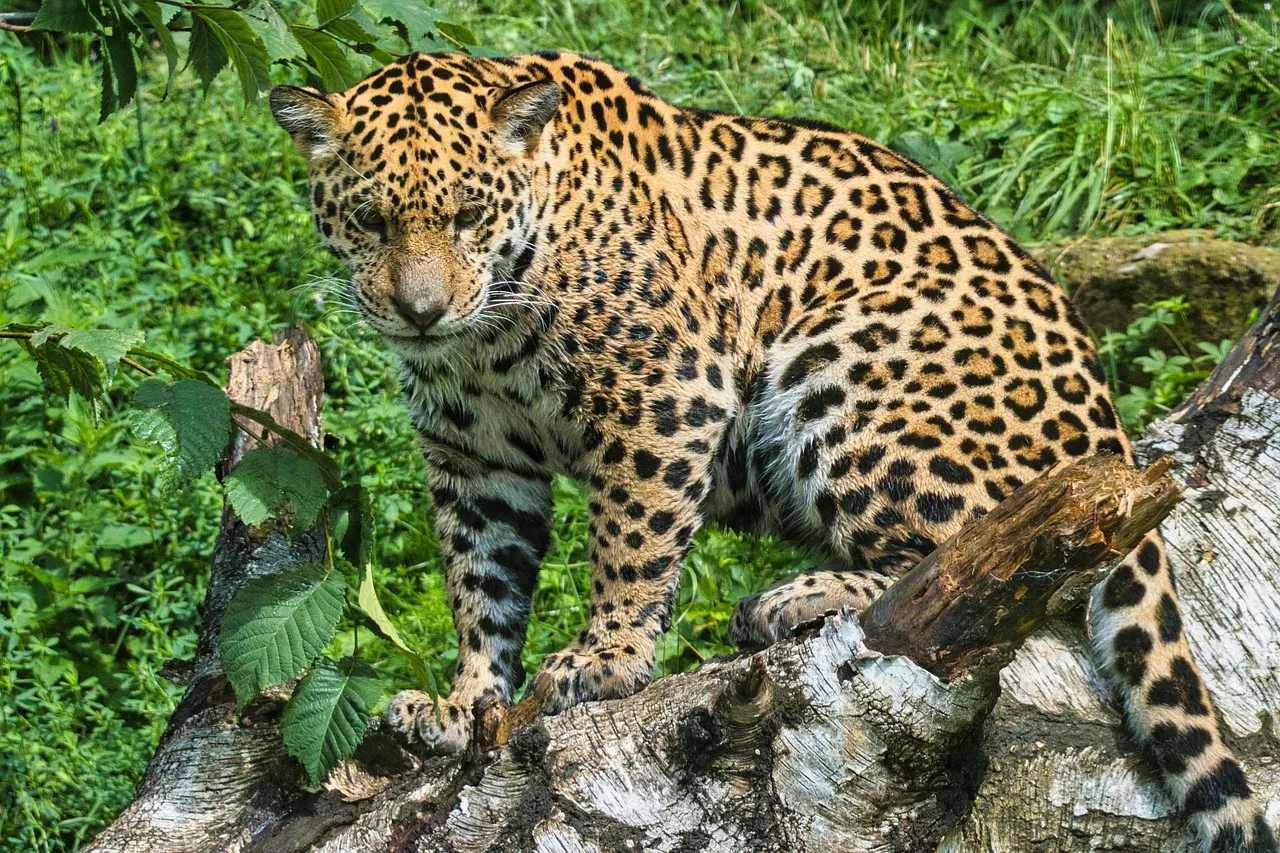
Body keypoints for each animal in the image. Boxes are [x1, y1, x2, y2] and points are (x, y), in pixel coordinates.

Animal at [269, 50, 1275, 851]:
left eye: (470, 215)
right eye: (371, 220)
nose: (421, 309)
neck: (485, 336)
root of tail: (1109, 435)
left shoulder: (667, 389)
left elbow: (629, 539)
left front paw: (606, 658)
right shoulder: (474, 461)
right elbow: (480, 585)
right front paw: (462, 703)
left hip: (848, 364)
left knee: (986, 565)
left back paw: (793, 600)